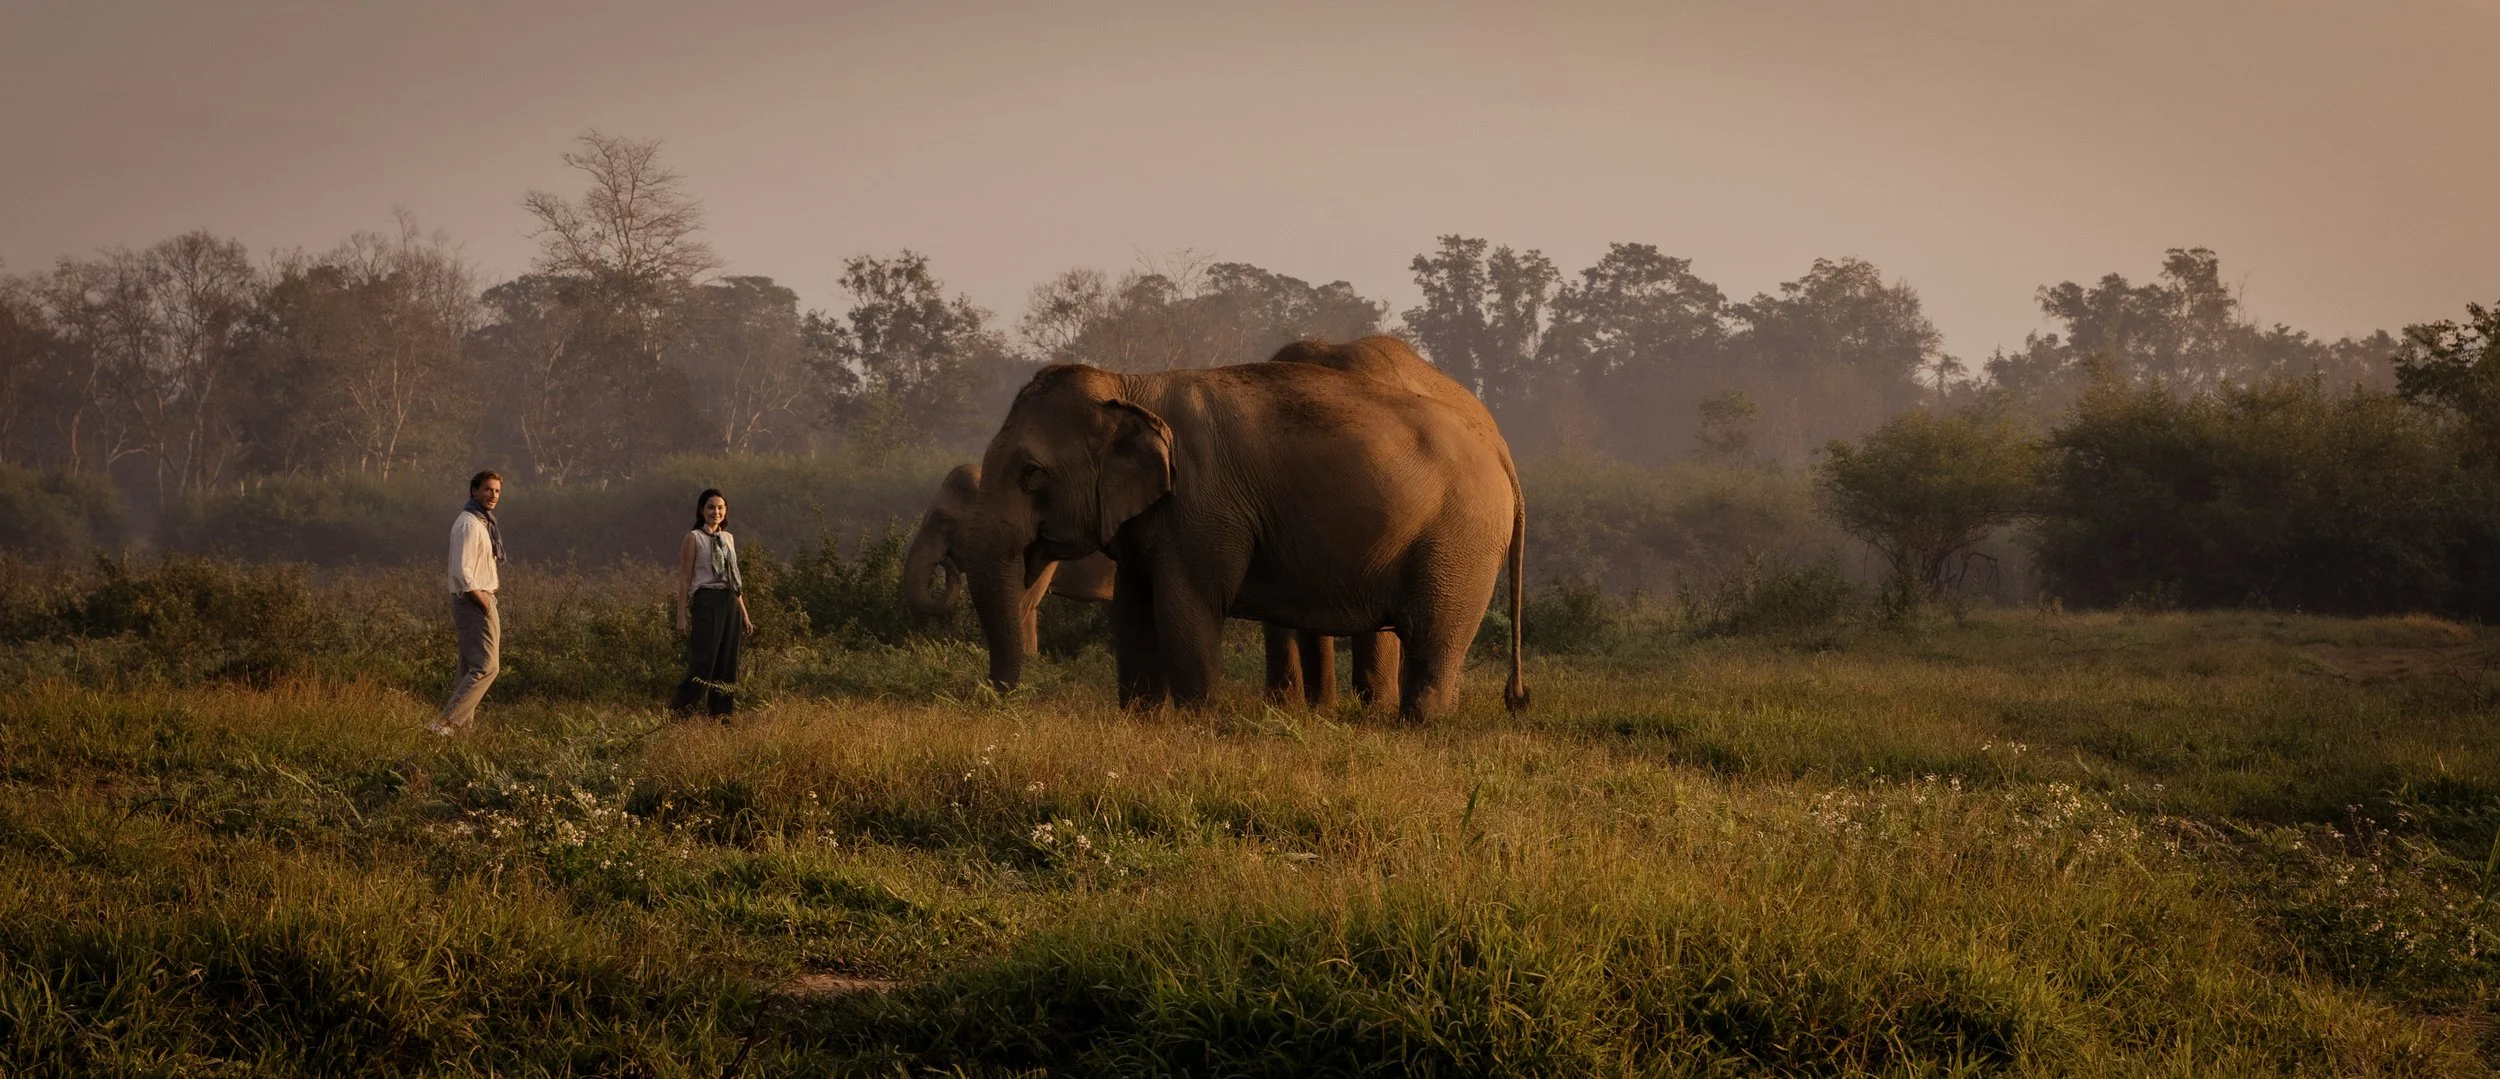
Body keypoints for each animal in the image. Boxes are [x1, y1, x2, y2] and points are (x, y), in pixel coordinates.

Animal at [956, 336, 1526, 722]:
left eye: (1032, 473)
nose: (1000, 698)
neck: (1130, 384)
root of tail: (1500, 448)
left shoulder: (1205, 505)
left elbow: (1189, 603)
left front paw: (1196, 722)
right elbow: (1133, 606)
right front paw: (1143, 720)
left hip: (1460, 541)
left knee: (1434, 635)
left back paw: (1417, 725)